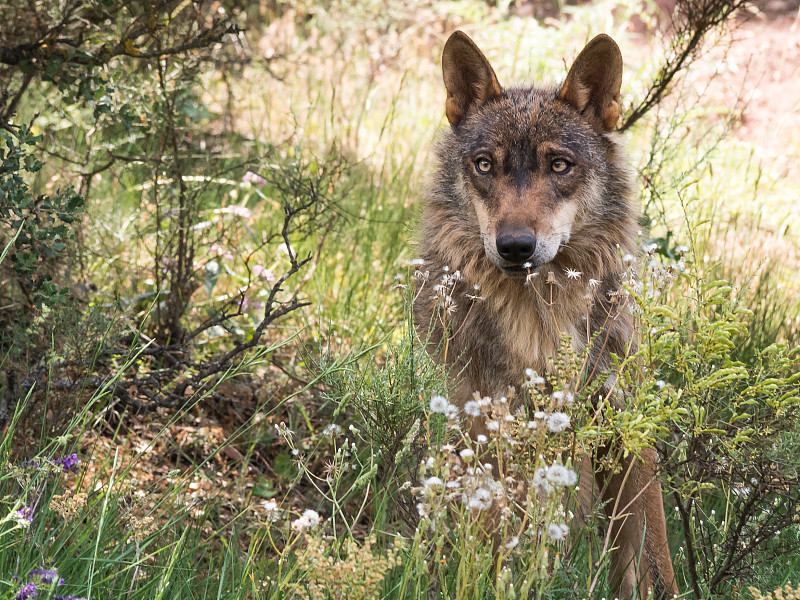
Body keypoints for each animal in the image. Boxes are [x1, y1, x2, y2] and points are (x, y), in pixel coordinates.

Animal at [416, 32, 680, 600]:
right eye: (485, 165)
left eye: (559, 165)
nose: (515, 246)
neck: (540, 318)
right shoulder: (495, 433)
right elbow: (498, 546)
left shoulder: (626, 429)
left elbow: (654, 563)